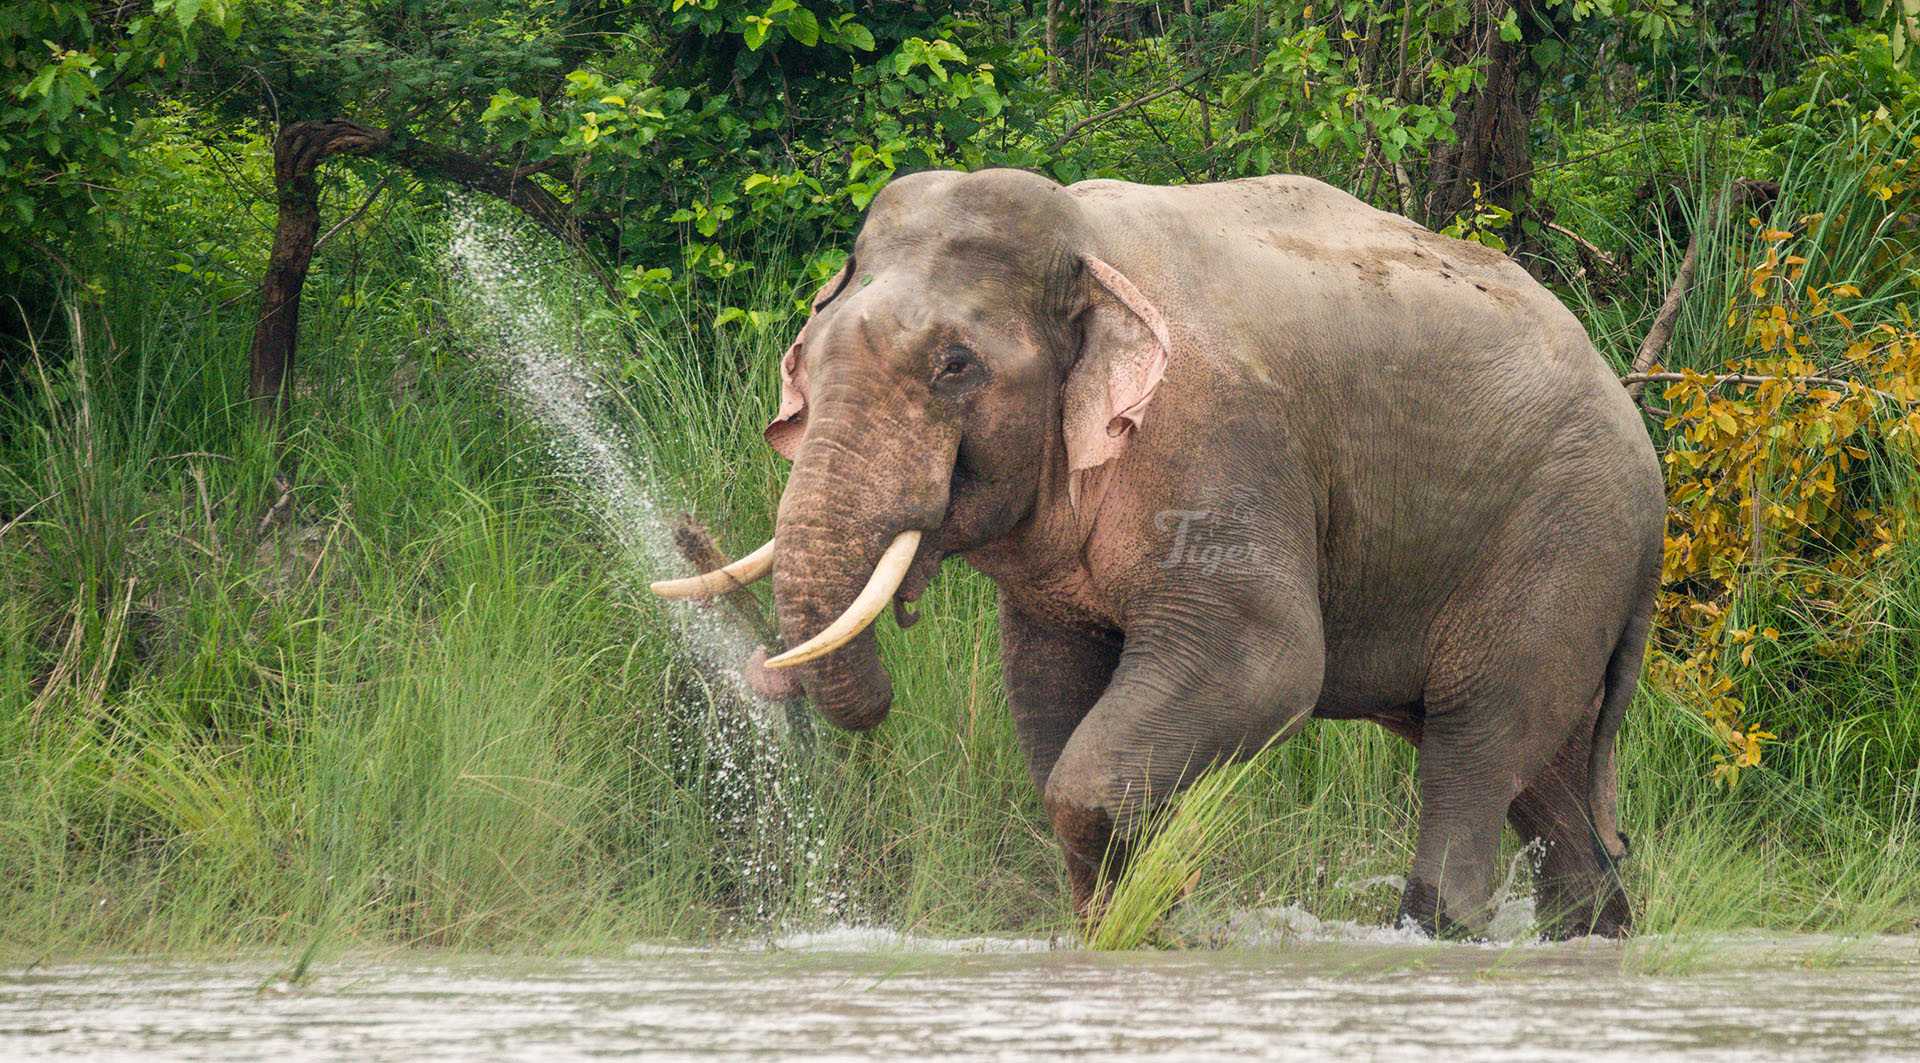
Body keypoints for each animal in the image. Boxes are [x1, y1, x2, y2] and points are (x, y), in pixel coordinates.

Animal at [654, 169, 1664, 939]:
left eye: (955, 366)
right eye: (806, 354)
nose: (762, 674)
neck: (1089, 244)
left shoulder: (1222, 446)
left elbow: (1264, 665)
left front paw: (1145, 912)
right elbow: (1049, 685)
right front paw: (1126, 919)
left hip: (1558, 541)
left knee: (1474, 746)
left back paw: (1439, 929)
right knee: (1549, 781)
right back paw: (1592, 930)